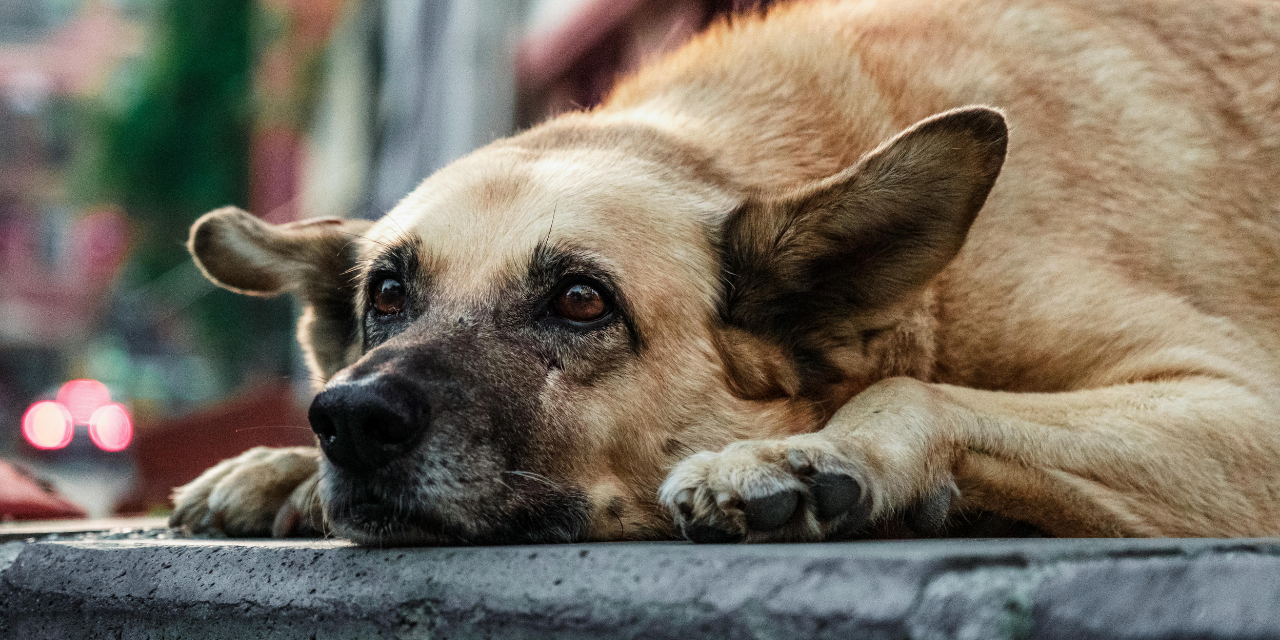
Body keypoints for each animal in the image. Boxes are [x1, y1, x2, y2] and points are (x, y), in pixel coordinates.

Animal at [170, 0, 1280, 545]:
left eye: (582, 300)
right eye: (387, 297)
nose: (350, 420)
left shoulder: (1243, 407)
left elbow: (909, 389)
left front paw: (810, 456)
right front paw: (280, 468)